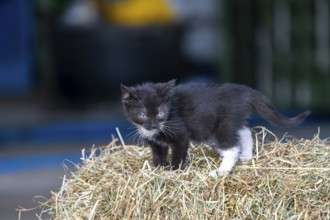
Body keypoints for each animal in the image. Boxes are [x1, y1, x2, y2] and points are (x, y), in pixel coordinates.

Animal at [120, 80, 310, 176]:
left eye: (160, 112)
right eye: (143, 115)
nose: (153, 124)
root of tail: (245, 91)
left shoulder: (181, 134)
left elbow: (178, 154)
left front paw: (175, 172)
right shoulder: (155, 142)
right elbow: (157, 155)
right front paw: (159, 169)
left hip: (222, 125)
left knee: (232, 148)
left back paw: (221, 171)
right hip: (226, 122)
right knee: (244, 132)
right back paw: (247, 156)